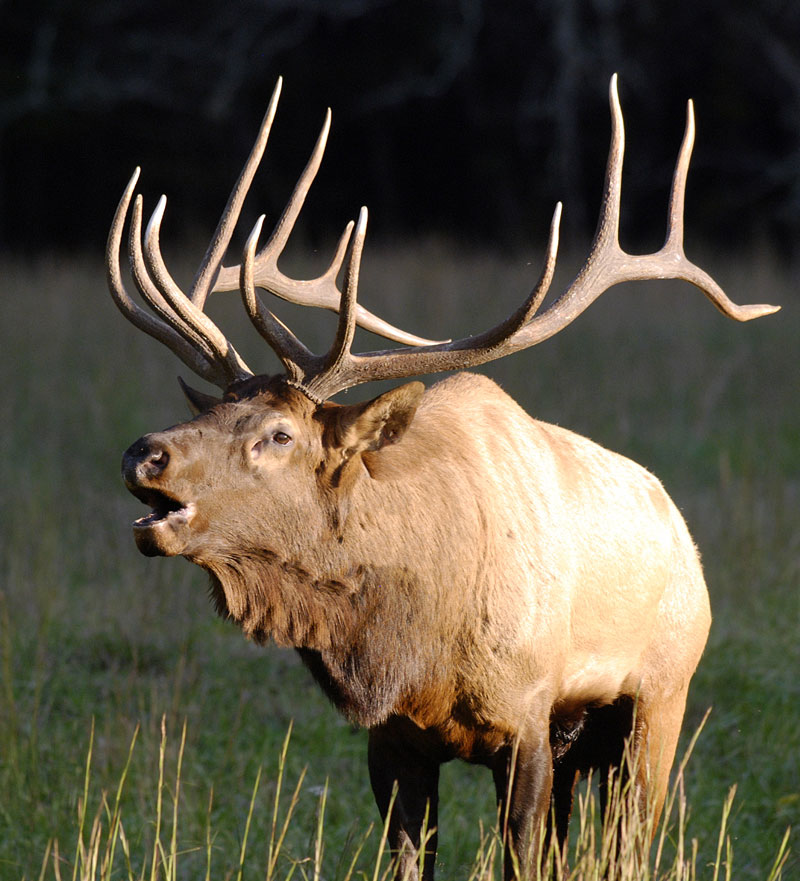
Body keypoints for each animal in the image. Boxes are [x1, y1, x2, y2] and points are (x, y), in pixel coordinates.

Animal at [104, 79, 776, 876]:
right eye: (216, 409)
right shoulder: (393, 741)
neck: (417, 641)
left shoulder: (528, 718)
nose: (144, 453)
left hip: (657, 702)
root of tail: (682, 534)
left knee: (629, 845)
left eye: (279, 434)